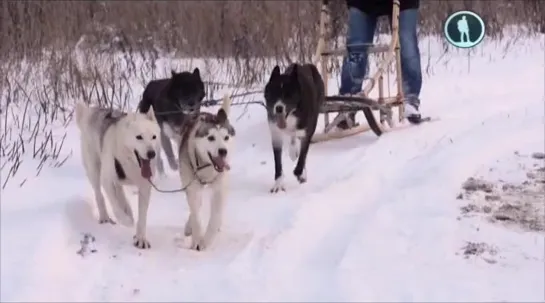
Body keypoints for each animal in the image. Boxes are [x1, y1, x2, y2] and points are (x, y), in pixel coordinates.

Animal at [264, 63, 324, 194]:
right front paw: (278, 184)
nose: (279, 108)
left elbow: (302, 157)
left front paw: (300, 175)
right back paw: (292, 151)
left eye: (288, 95)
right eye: (274, 93)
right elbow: (278, 164)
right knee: (292, 137)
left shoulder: (307, 133)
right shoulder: (276, 135)